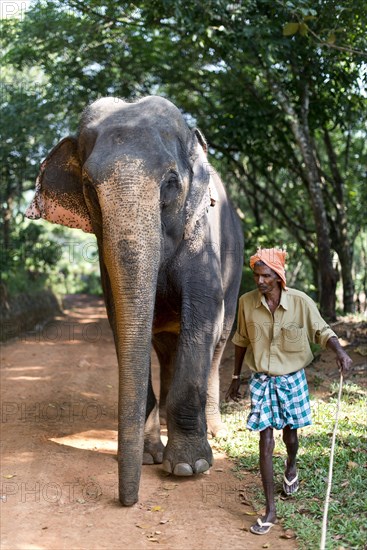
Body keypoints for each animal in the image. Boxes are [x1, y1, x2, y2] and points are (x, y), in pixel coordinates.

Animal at [25, 96, 244, 508]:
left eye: (171, 183)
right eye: (88, 187)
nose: (128, 501)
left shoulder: (201, 236)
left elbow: (203, 313)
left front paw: (189, 467)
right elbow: (120, 320)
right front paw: (147, 457)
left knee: (218, 343)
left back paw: (215, 434)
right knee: (165, 349)